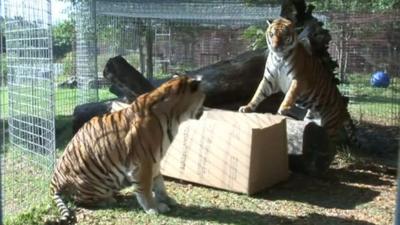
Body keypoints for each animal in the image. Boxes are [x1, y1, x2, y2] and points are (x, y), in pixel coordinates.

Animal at [50, 75, 205, 221]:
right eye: (203, 99)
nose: (204, 111)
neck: (175, 118)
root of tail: (54, 183)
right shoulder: (143, 162)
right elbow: (146, 187)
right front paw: (153, 208)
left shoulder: (154, 161)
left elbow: (160, 183)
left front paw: (167, 200)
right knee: (80, 200)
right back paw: (108, 200)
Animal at [239, 18, 358, 171]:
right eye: (272, 34)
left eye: (283, 35)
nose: (276, 46)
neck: (279, 57)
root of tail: (344, 108)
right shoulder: (269, 80)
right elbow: (258, 94)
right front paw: (247, 107)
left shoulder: (298, 79)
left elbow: (290, 94)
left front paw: (283, 109)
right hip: (315, 120)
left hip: (330, 124)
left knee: (332, 146)